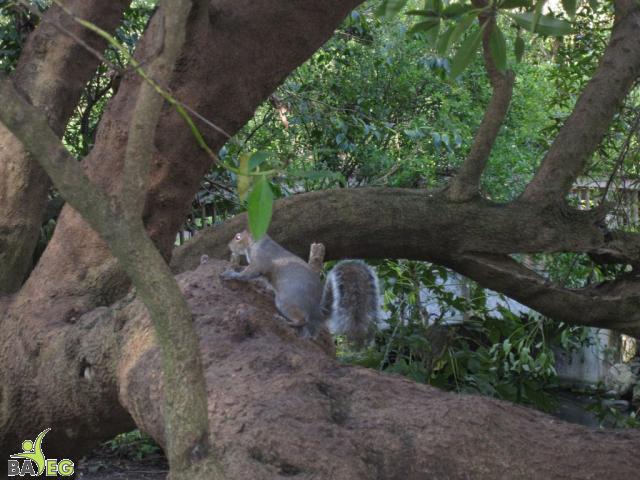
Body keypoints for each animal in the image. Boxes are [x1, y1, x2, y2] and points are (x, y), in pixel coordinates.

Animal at [220, 230, 380, 346]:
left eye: (238, 237)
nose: (228, 246)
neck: (257, 243)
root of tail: (317, 311)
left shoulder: (259, 262)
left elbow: (248, 274)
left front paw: (232, 274)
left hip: (286, 301)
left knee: (301, 320)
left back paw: (284, 321)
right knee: (309, 331)